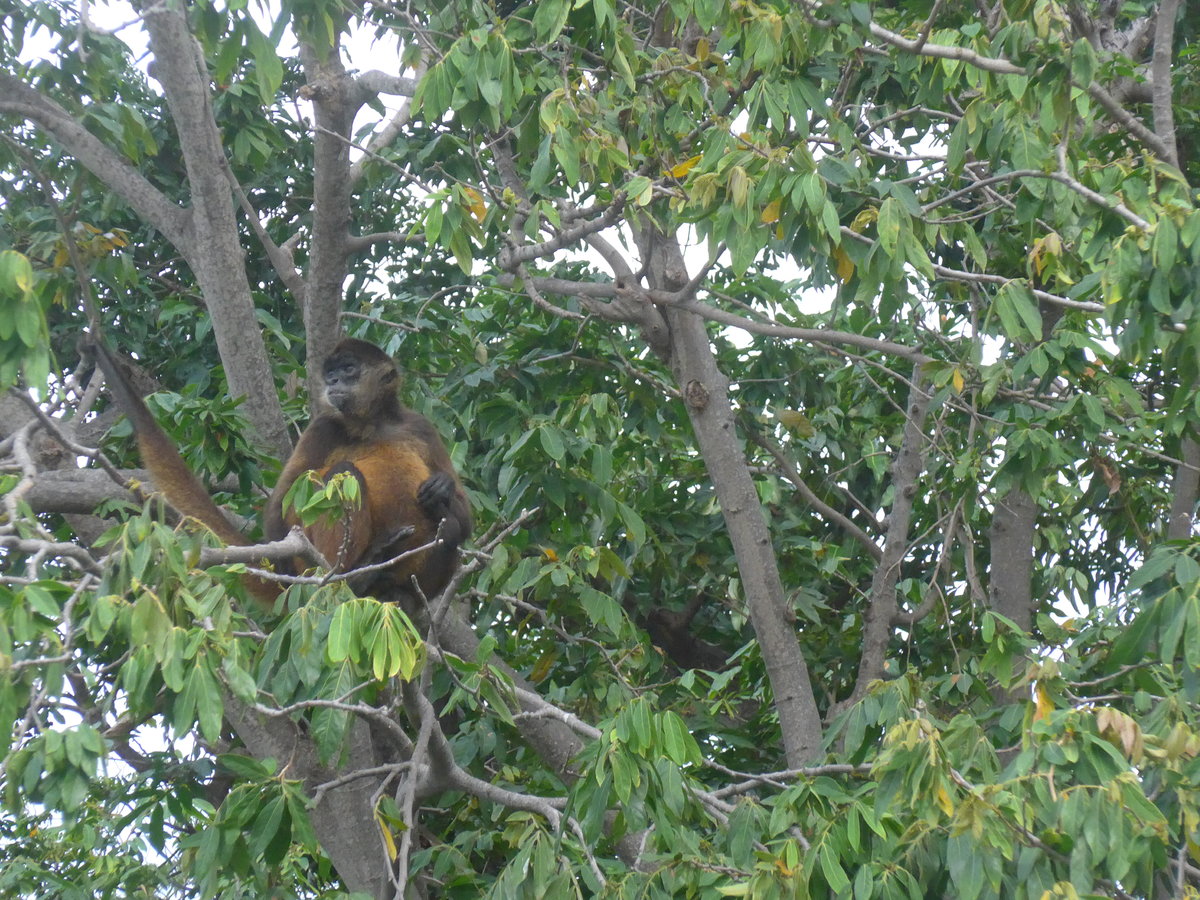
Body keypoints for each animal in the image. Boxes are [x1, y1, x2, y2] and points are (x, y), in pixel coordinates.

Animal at [90, 336, 470, 603]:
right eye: (331, 373)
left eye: (348, 369)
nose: (333, 381)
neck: (372, 422)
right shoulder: (324, 427)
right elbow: (279, 508)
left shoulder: (419, 427)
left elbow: (466, 515)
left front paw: (441, 490)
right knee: (344, 472)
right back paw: (357, 574)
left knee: (452, 531)